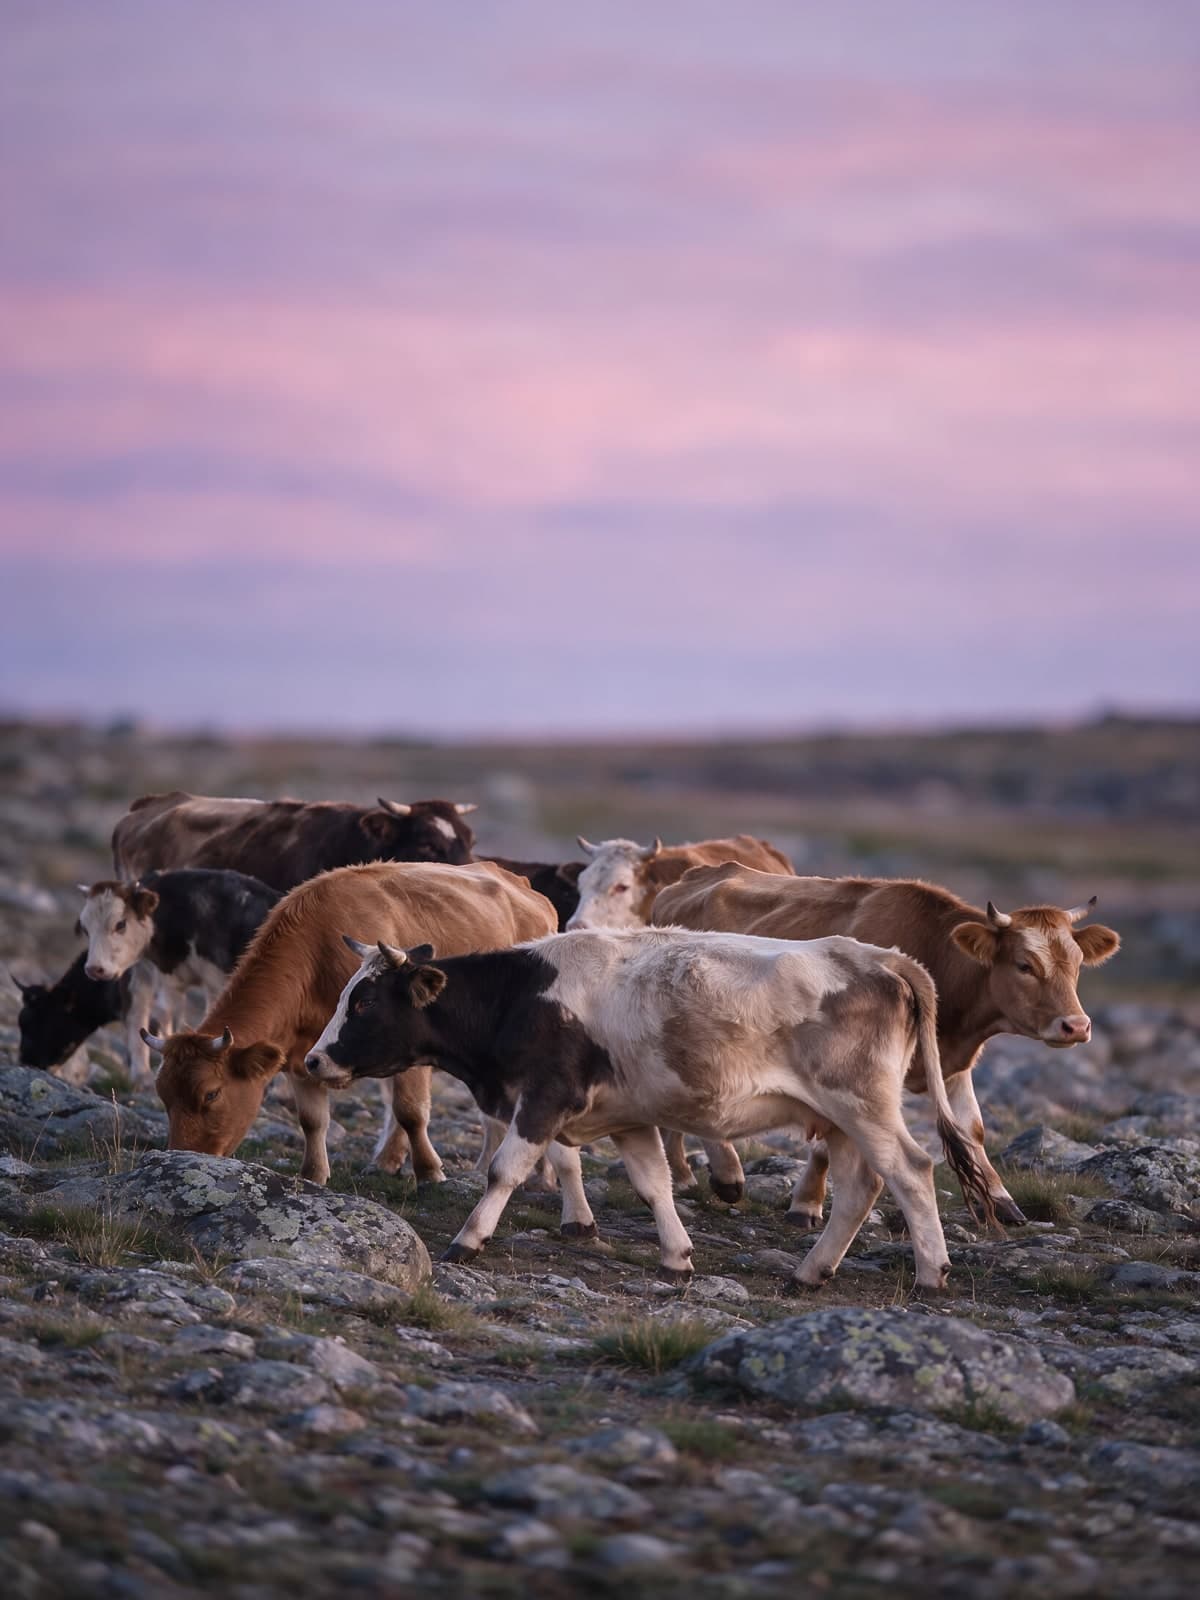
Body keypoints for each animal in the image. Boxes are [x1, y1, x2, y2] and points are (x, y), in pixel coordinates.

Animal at [77, 869, 282, 1085]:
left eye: (120, 924)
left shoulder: (215, 982)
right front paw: (142, 1076)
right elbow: (143, 1017)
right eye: (85, 928)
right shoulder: (150, 972)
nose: (94, 968)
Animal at [140, 861, 557, 1186]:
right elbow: (312, 1119)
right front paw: (313, 1174)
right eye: (163, 1096)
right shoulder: (303, 1056)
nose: (181, 1158)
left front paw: (429, 1172)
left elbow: (410, 1111)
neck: (316, 959)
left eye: (211, 1094)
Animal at [304, 927, 995, 1292]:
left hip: (863, 1107)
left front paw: (467, 1240)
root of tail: (878, 956)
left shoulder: (545, 1095)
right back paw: (810, 1270)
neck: (520, 996)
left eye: (364, 1003)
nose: (313, 1060)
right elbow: (653, 1182)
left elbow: (505, 1171)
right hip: (844, 1121)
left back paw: (930, 1271)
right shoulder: (629, 1116)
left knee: (911, 1172)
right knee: (859, 1189)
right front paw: (676, 1254)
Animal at [653, 864, 1121, 1227]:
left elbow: (972, 1129)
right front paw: (806, 1204)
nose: (1076, 1026)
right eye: (1025, 965)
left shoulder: (952, 1065)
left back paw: (685, 1173)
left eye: (1077, 963)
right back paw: (724, 1174)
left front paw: (1002, 1200)